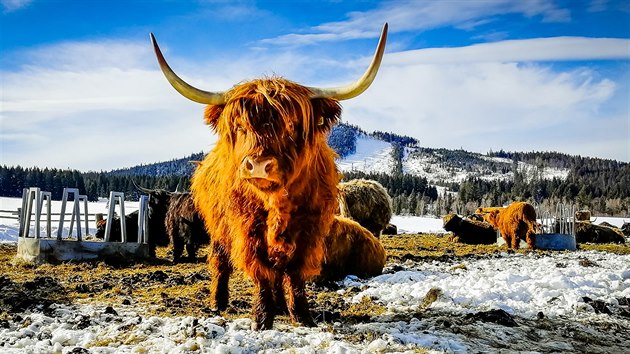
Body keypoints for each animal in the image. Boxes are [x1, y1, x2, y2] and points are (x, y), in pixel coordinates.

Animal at [152, 23, 390, 330]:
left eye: (292, 125)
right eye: (240, 126)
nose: (257, 165)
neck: (277, 203)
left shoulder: (310, 229)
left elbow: (294, 272)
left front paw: (301, 316)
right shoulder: (247, 228)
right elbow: (261, 271)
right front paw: (262, 319)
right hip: (218, 228)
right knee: (221, 261)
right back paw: (219, 302)